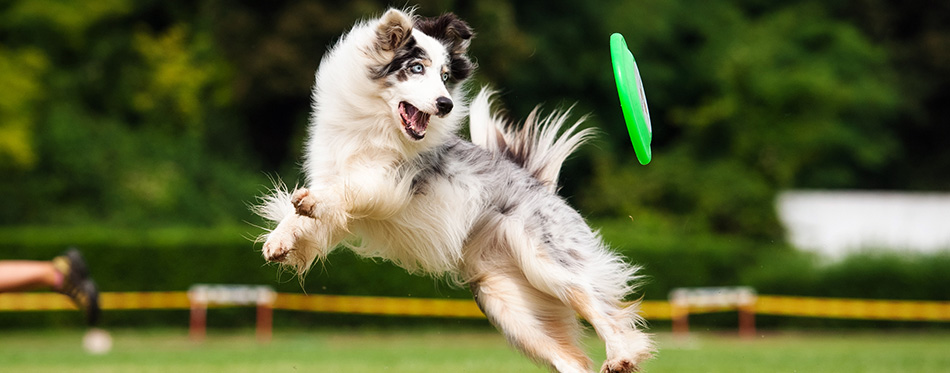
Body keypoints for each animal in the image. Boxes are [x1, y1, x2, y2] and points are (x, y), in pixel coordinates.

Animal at [255, 8, 656, 372]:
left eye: (445, 76)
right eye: (417, 68)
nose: (446, 104)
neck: (373, 123)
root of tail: (538, 184)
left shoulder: (390, 180)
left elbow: (346, 188)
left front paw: (310, 201)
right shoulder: (338, 188)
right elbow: (306, 217)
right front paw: (280, 240)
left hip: (549, 264)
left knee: (601, 307)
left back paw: (621, 355)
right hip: (507, 303)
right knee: (571, 359)